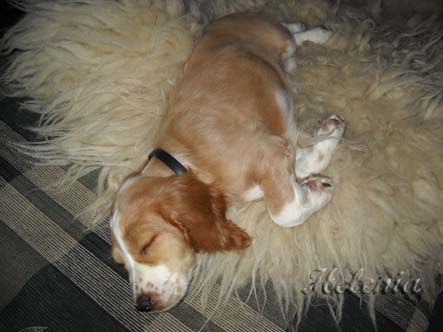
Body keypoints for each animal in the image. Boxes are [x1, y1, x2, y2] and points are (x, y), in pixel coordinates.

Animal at [109, 13, 346, 312]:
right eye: (121, 263)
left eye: (147, 244)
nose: (143, 305)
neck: (187, 159)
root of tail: (229, 17)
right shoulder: (282, 149)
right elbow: (308, 162)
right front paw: (327, 144)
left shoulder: (268, 152)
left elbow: (284, 213)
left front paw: (321, 183)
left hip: (271, 34)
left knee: (291, 35)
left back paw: (321, 32)